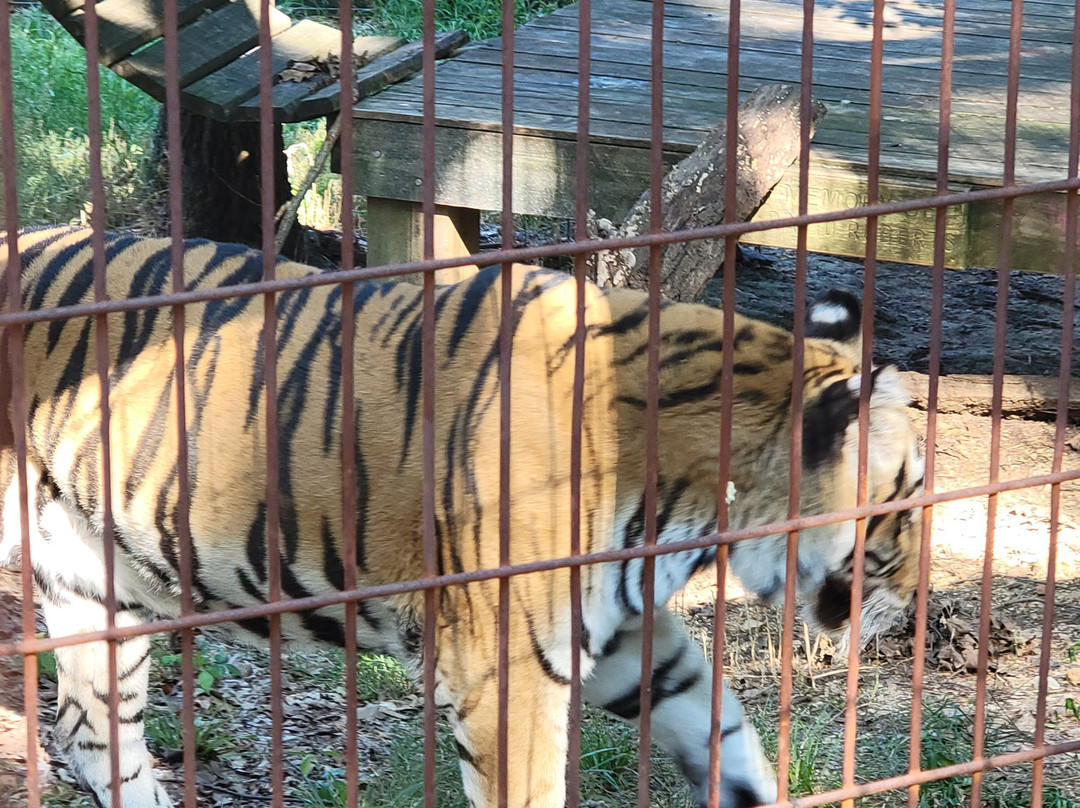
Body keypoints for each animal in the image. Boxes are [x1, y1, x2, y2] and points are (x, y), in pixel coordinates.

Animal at [0, 226, 923, 808]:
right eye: (909, 497)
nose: (916, 608)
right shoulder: (505, 668)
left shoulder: (621, 630)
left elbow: (715, 720)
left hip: (94, 580)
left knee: (89, 730)